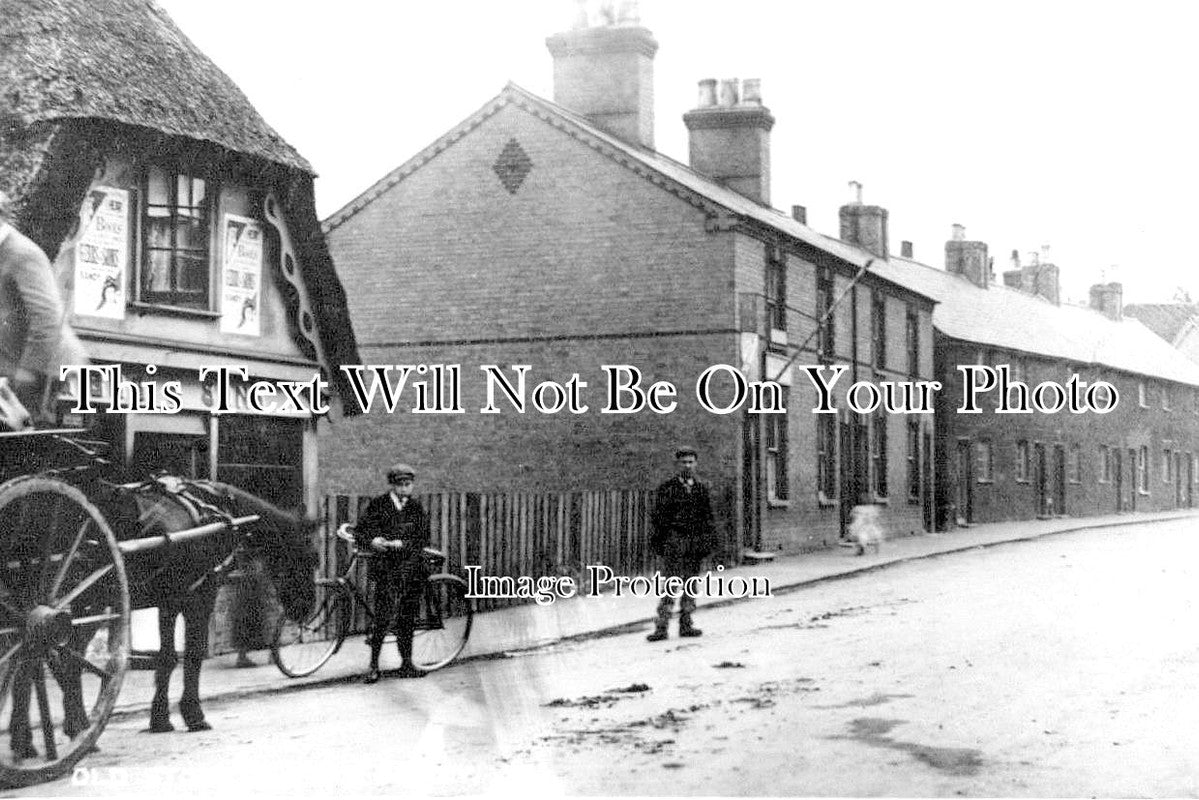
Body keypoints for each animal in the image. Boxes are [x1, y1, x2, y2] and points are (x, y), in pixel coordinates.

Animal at [8, 479, 318, 762]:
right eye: (312, 557)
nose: (307, 609)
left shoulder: (169, 601)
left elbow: (167, 658)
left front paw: (159, 719)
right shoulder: (199, 595)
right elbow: (190, 656)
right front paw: (192, 715)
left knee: (34, 663)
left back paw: (32, 741)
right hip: (86, 600)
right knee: (57, 659)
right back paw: (73, 732)